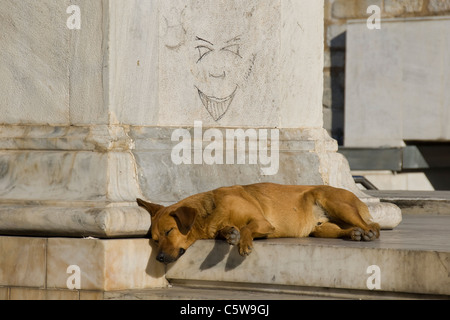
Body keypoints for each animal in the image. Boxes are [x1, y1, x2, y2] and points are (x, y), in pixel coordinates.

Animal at [137, 184, 380, 264]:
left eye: (169, 231)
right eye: (155, 240)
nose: (159, 258)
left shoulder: (263, 222)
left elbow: (247, 227)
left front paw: (243, 243)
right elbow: (228, 230)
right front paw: (229, 233)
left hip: (334, 202)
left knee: (374, 227)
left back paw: (367, 233)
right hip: (320, 229)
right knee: (344, 229)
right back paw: (353, 234)